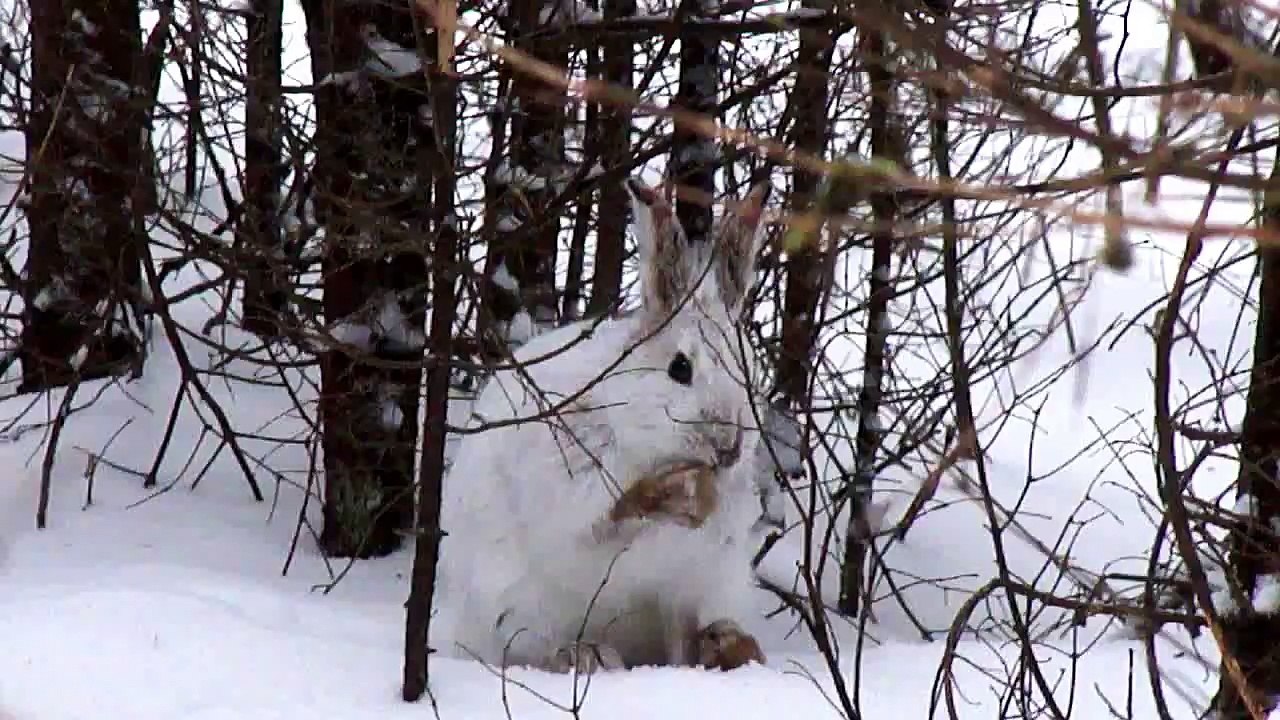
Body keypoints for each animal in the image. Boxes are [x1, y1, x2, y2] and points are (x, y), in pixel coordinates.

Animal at [439, 176, 772, 674]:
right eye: (679, 368)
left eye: (749, 373)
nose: (729, 447)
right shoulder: (570, 489)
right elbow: (603, 523)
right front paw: (672, 497)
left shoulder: (689, 582)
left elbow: (680, 633)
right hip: (509, 604)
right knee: (523, 650)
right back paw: (585, 655)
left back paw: (732, 645)